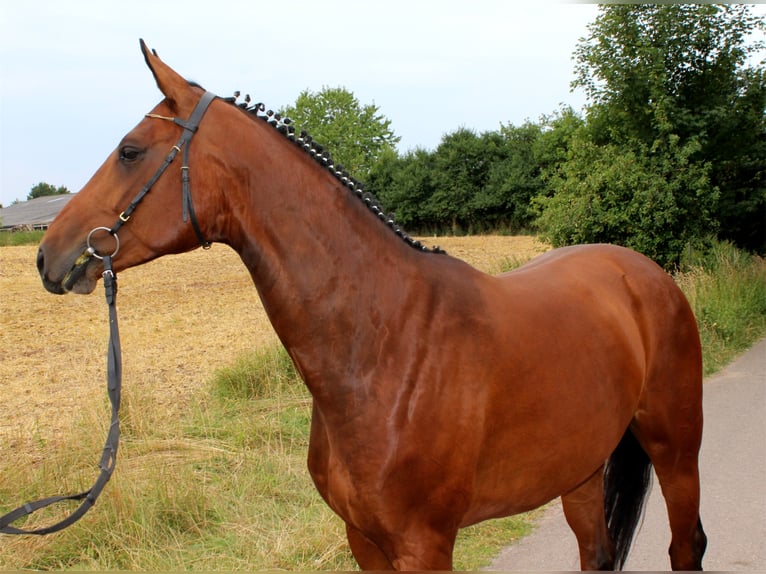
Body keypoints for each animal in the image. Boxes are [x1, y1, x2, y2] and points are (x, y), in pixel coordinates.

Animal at [36, 41, 708, 572]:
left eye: (129, 151)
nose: (48, 255)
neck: (384, 343)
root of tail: (646, 272)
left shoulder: (425, 545)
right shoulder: (363, 539)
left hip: (676, 450)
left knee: (686, 545)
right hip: (581, 470)